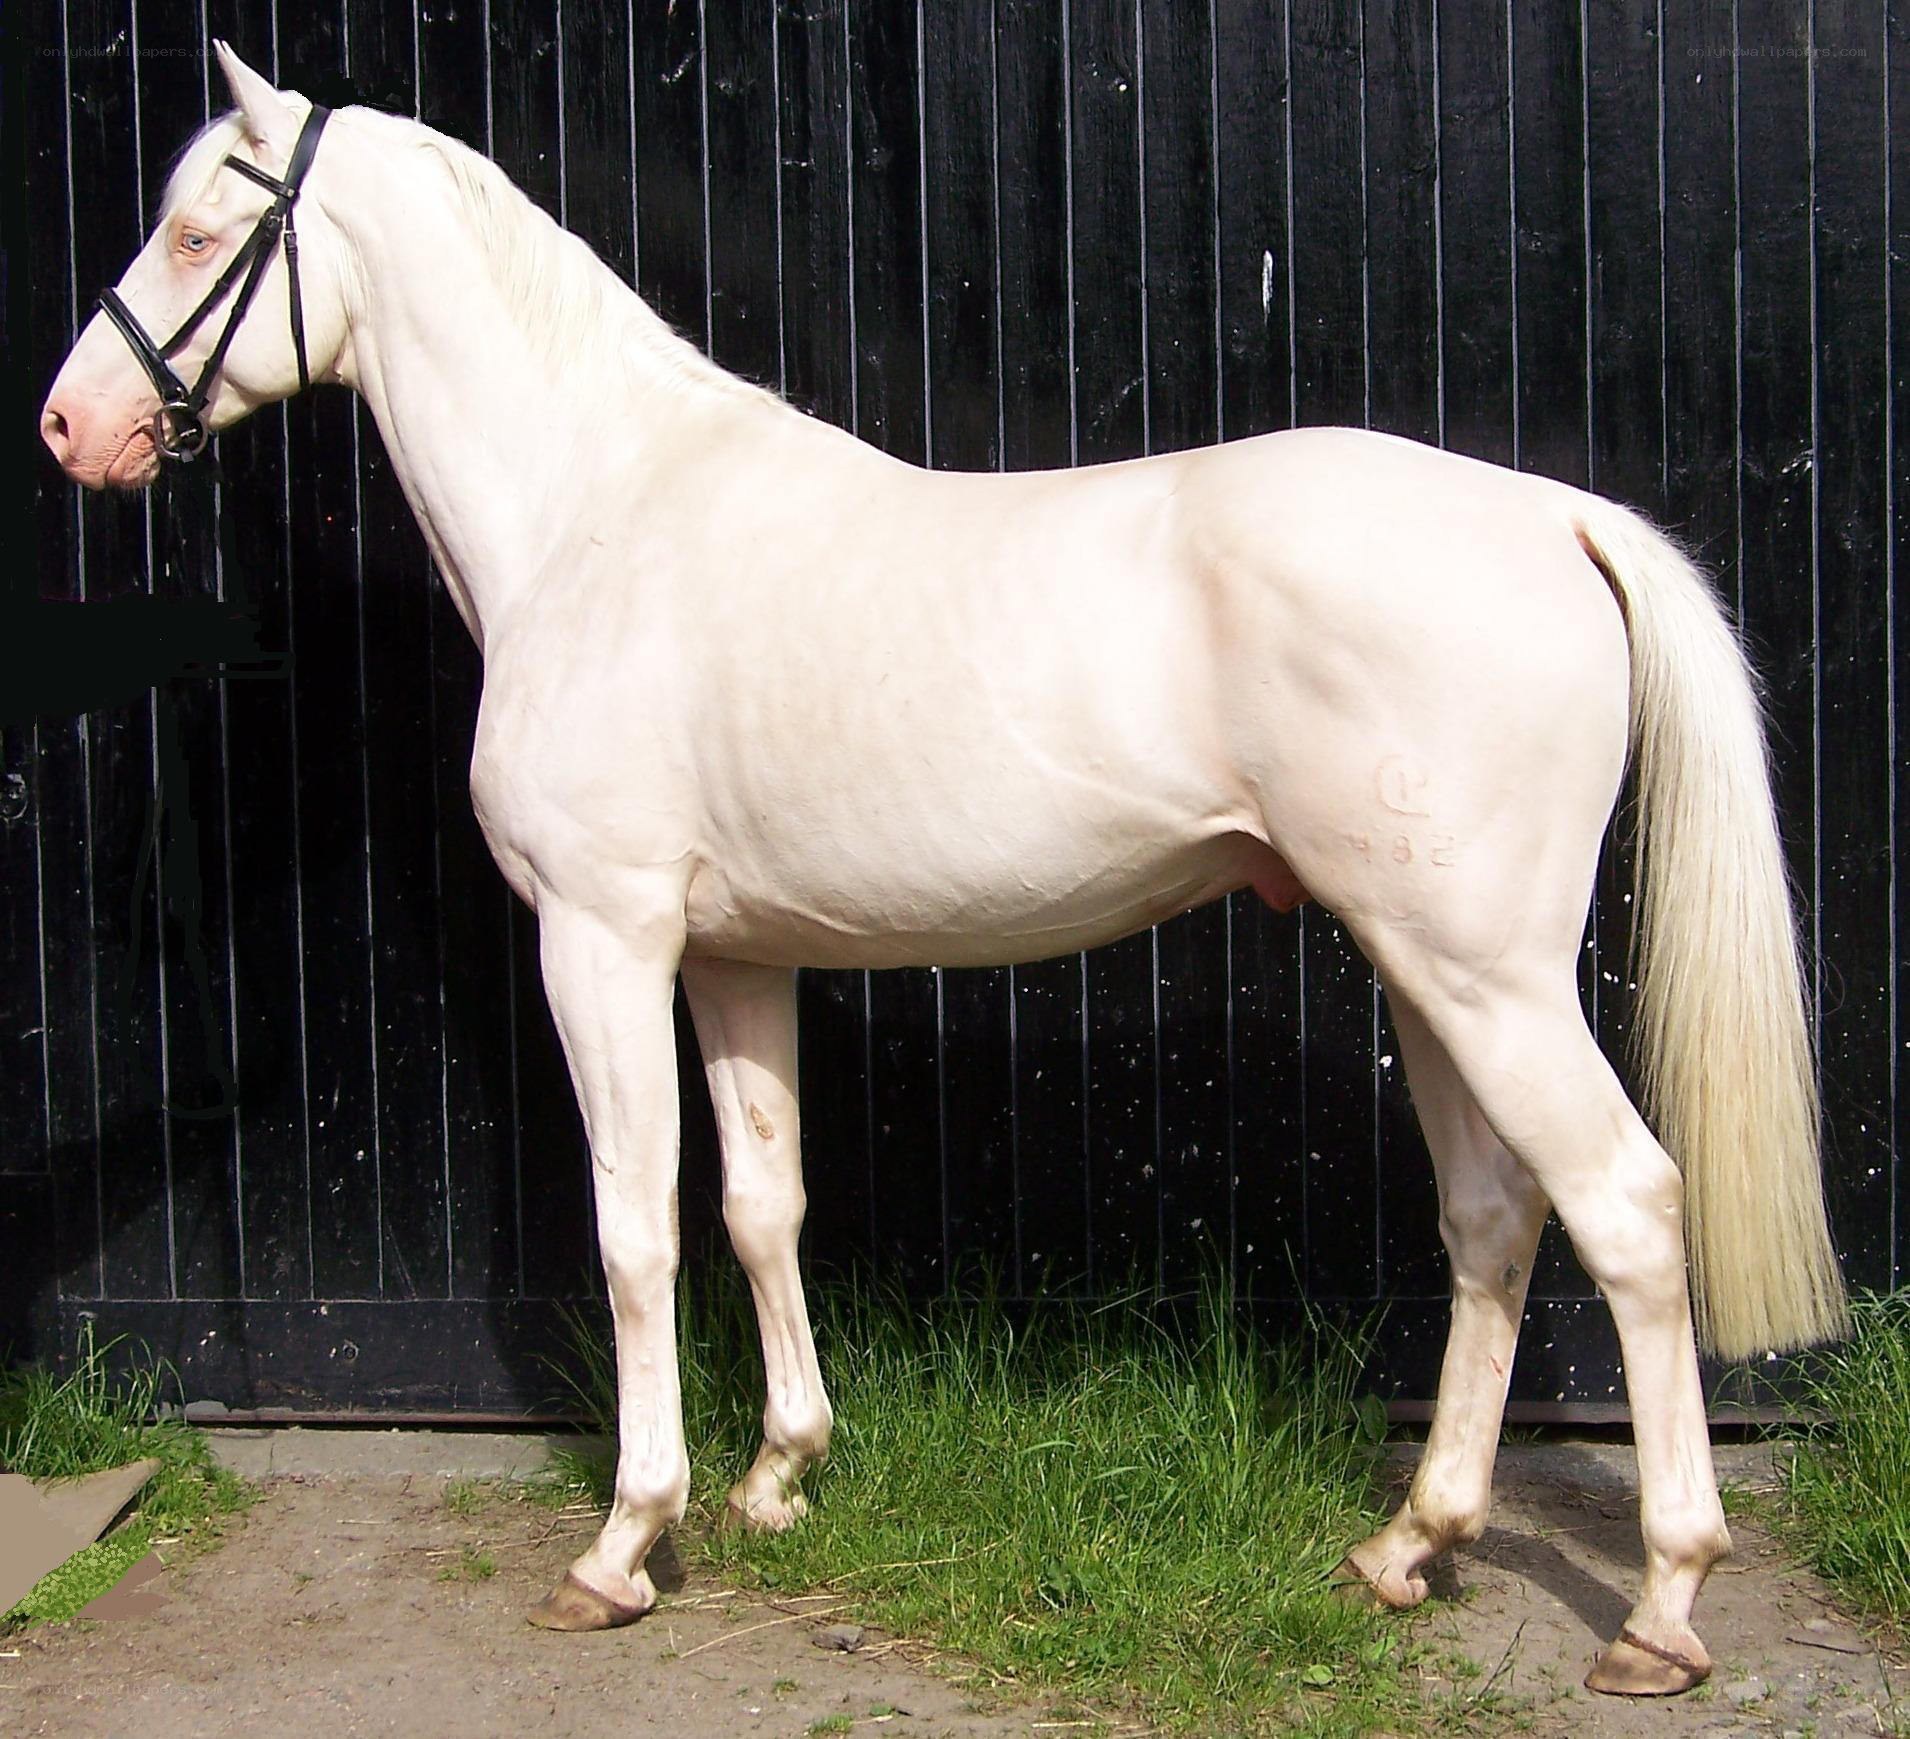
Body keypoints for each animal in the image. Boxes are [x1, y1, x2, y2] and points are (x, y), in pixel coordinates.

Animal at [42, 43, 1847, 1697]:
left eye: (200, 232)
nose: (72, 425)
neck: (599, 517)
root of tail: (1550, 517)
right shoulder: (732, 954)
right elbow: (761, 1203)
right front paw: (778, 1475)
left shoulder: (601, 936)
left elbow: (633, 1230)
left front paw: (626, 1540)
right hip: (1432, 966)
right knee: (1492, 1216)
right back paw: (1410, 1542)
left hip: (1487, 976)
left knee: (1627, 1208)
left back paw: (1662, 1603)